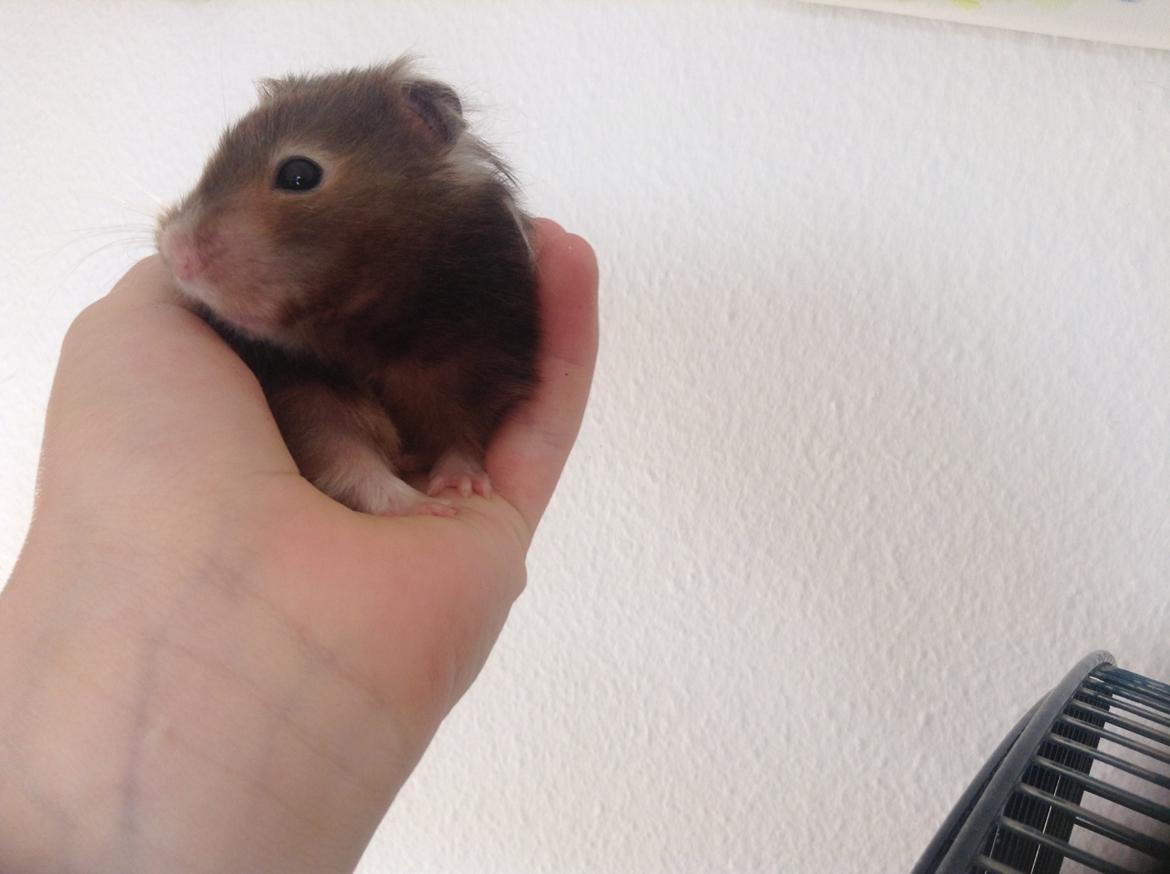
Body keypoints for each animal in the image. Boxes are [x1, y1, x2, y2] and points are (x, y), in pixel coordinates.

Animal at [155, 60, 539, 516]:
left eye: (298, 175)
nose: (173, 252)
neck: (371, 328)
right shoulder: (299, 395)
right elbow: (348, 460)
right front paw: (422, 506)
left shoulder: (476, 363)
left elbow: (462, 435)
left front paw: (459, 487)